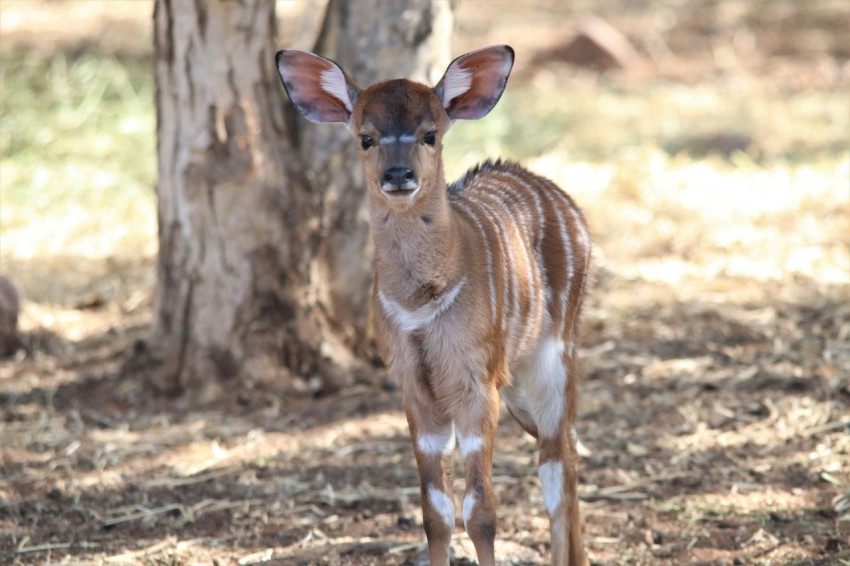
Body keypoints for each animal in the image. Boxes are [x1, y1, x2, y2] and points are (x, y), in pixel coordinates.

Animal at [276, 44, 591, 566]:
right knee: (560, 452)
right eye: (366, 137)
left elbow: (480, 511)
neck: (420, 303)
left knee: (559, 460)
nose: (398, 175)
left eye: (430, 134)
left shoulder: (474, 386)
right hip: (519, 380)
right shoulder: (416, 392)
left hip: (556, 356)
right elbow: (435, 513)